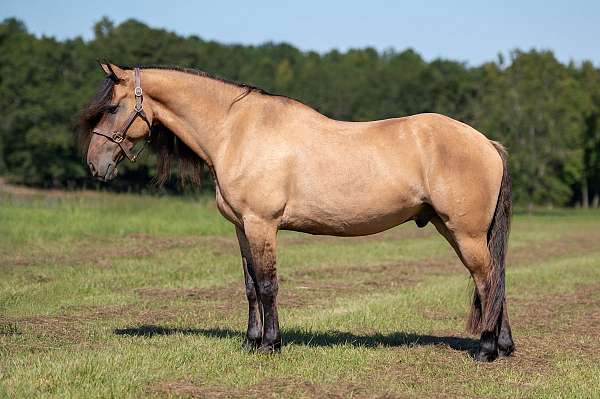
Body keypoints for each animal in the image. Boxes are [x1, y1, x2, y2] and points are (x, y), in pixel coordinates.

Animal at [79, 62, 516, 362]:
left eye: (113, 107)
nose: (94, 163)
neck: (236, 131)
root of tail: (487, 143)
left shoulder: (262, 225)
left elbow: (268, 285)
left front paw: (271, 345)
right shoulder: (242, 228)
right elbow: (250, 286)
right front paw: (251, 342)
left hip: (465, 233)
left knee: (487, 279)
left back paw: (486, 350)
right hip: (454, 230)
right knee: (493, 280)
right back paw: (503, 345)